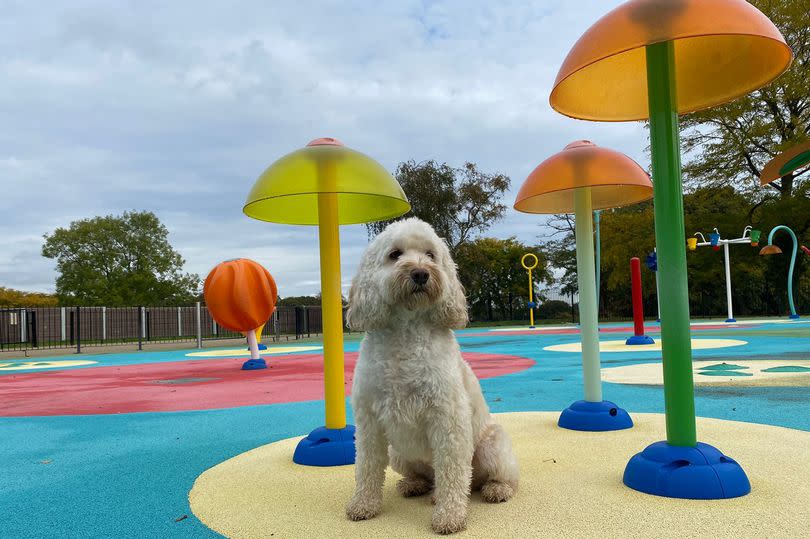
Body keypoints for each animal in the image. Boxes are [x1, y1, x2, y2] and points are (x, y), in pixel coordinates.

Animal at [342, 218, 516, 536]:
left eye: (431, 255)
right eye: (395, 254)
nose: (421, 273)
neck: (406, 332)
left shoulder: (448, 420)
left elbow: (452, 473)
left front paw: (449, 517)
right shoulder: (369, 422)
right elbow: (367, 467)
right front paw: (363, 505)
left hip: (492, 446)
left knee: (483, 479)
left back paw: (495, 489)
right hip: (398, 453)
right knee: (432, 478)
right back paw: (415, 485)